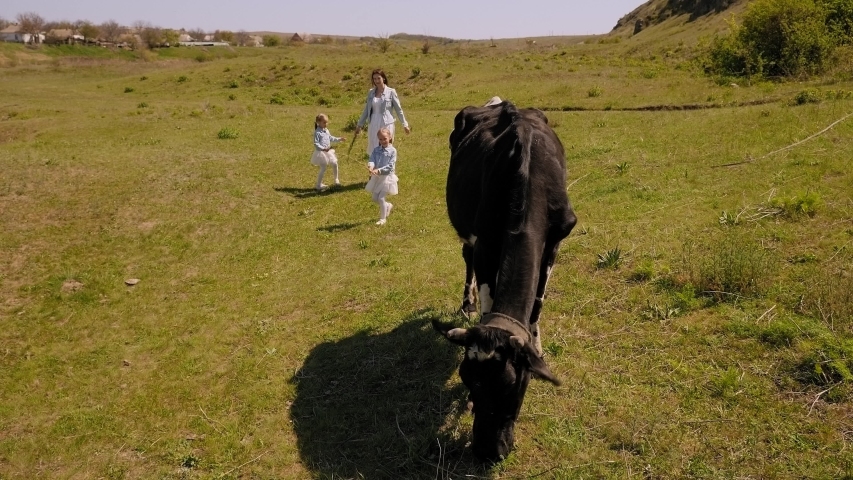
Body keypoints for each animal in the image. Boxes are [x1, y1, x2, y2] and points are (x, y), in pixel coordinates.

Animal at [432, 98, 577, 462]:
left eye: (514, 386)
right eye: (467, 380)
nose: (487, 450)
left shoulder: (555, 241)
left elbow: (537, 303)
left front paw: (537, 345)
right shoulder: (484, 241)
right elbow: (487, 297)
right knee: (466, 258)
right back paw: (466, 303)